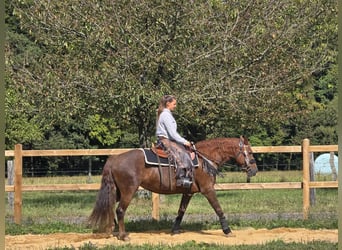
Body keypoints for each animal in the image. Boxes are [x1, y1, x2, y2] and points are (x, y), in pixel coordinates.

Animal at [88, 136, 256, 241]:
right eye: (249, 152)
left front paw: (174, 230)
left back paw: (110, 230)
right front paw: (228, 231)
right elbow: (218, 209)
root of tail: (114, 158)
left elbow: (181, 211)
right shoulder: (208, 190)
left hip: (117, 191)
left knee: (109, 207)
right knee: (120, 210)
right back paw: (123, 236)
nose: (254, 170)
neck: (204, 160)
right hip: (129, 191)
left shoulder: (188, 193)